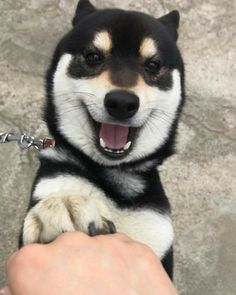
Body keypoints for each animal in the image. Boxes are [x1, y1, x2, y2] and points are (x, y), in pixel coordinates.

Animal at [19, 0, 184, 280]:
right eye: (93, 57)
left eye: (153, 64)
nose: (122, 102)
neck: (112, 176)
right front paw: (63, 208)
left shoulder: (157, 243)